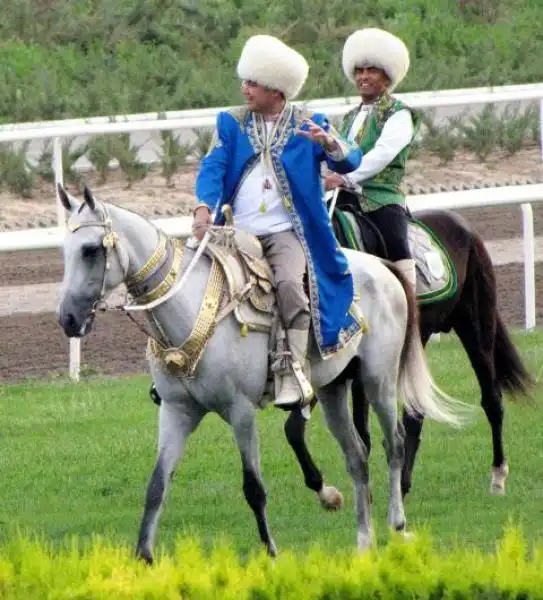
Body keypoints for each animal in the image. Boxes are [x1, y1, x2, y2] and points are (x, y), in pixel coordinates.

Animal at [57, 185, 470, 564]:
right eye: (65, 251)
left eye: (90, 249)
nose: (68, 319)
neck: (192, 307)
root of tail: (383, 267)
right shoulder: (176, 411)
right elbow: (157, 484)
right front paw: (144, 557)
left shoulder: (240, 411)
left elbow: (253, 487)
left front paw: (271, 553)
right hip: (333, 389)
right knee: (356, 456)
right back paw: (363, 541)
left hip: (378, 379)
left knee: (394, 442)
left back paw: (397, 524)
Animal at [286, 206, 532, 506]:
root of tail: (464, 227)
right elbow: (303, 429)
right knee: (415, 414)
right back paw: (403, 482)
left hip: (476, 329)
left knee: (491, 400)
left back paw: (497, 475)